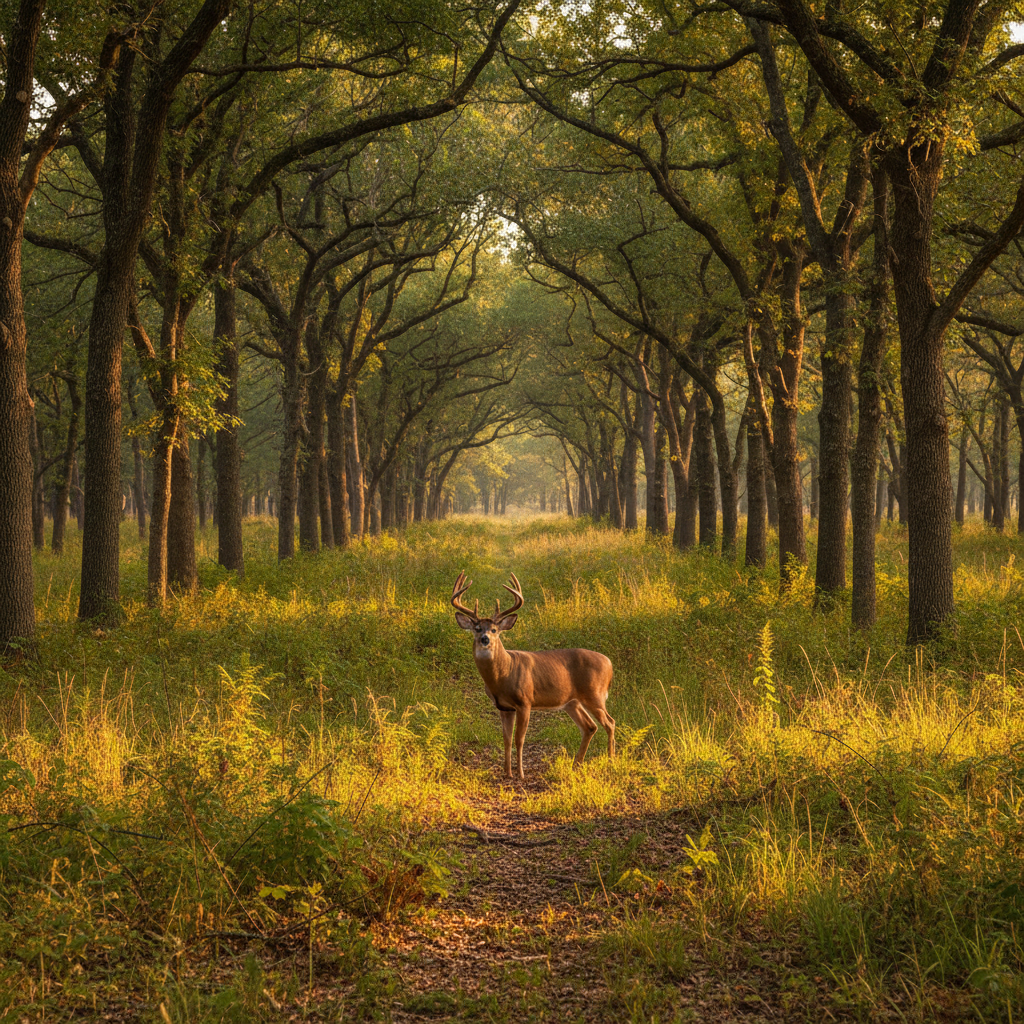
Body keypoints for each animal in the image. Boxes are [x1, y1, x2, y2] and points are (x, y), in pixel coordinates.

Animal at [451, 571, 615, 780]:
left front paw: (520, 773)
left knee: (610, 722)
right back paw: (575, 765)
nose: (485, 639)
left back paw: (611, 761)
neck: (503, 674)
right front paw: (507, 772)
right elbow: (506, 739)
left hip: (594, 694)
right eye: (477, 628)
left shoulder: (525, 701)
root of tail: (609, 664)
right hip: (572, 702)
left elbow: (519, 739)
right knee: (590, 727)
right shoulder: (504, 707)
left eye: (495, 630)